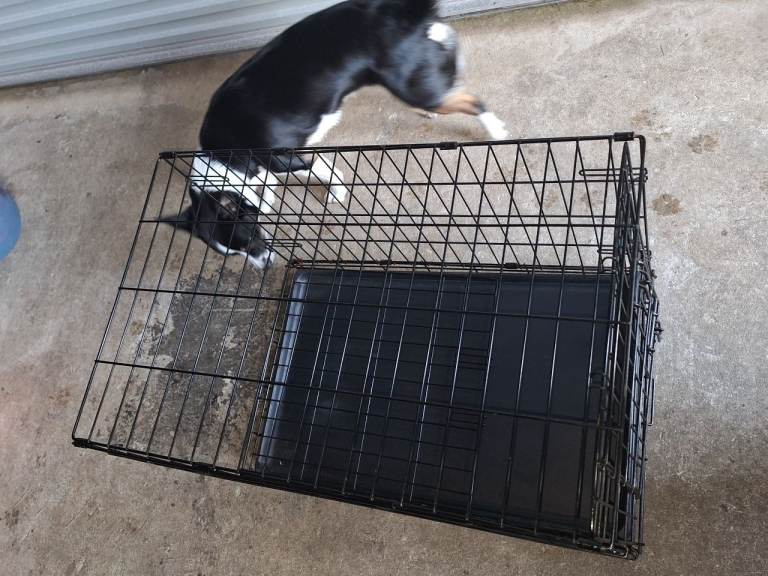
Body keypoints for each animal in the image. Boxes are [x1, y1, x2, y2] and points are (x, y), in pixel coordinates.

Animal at [168, 0, 508, 268]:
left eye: (249, 240)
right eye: (234, 253)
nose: (263, 266)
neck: (222, 159)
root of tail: (401, 10)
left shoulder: (290, 160)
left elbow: (324, 171)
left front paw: (336, 192)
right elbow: (265, 187)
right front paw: (266, 198)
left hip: (414, 87)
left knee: (474, 102)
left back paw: (496, 130)